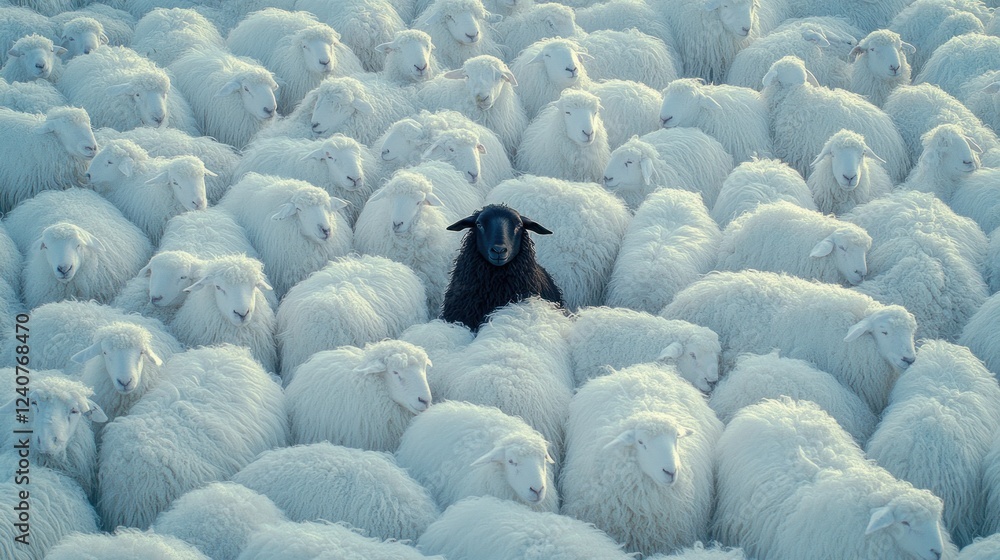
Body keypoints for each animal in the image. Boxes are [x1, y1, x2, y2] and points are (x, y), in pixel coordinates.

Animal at [355, 162, 482, 315]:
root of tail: (432, 163)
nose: (397, 224)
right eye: (391, 199)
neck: (407, 248)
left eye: (418, 202)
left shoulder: (434, 283)